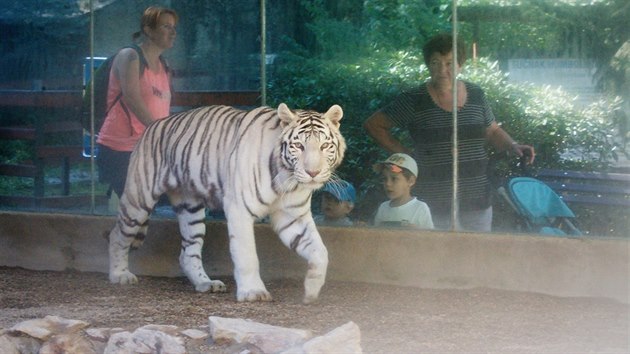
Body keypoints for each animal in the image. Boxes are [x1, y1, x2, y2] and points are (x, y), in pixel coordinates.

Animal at [108, 103, 346, 304]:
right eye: (298, 146)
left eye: (325, 146)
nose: (313, 172)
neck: (287, 179)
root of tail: (153, 124)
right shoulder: (239, 209)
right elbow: (247, 254)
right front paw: (253, 292)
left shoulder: (293, 216)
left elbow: (320, 251)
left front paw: (311, 289)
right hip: (138, 199)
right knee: (118, 235)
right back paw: (120, 275)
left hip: (190, 208)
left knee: (188, 252)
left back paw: (206, 283)